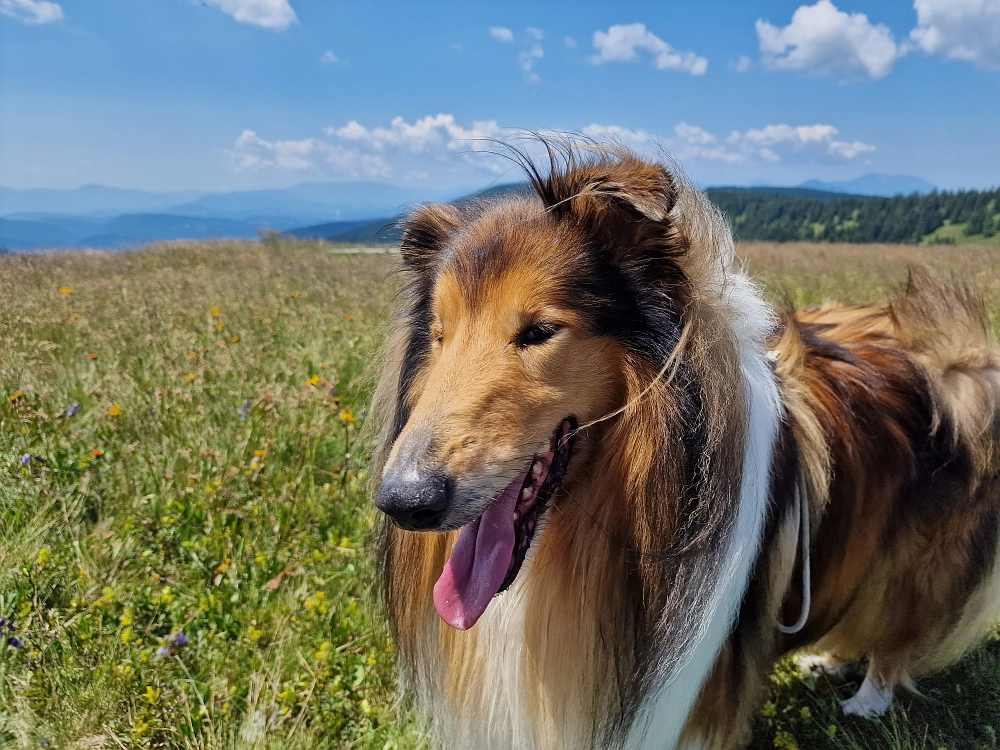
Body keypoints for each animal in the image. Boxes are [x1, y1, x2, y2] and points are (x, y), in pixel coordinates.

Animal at [370, 142, 1000, 750]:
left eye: (539, 332)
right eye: (439, 336)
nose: (404, 502)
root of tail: (958, 352)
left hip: (917, 556)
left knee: (899, 626)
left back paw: (869, 697)